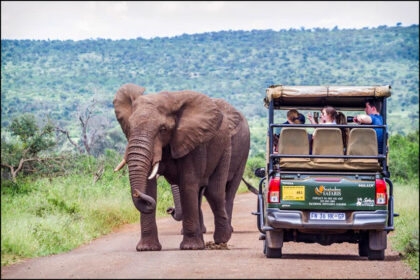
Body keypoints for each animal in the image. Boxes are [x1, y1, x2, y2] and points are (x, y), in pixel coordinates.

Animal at [111, 82, 254, 249]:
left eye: (163, 129)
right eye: (129, 127)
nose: (169, 209)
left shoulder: (194, 142)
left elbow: (188, 183)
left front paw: (191, 247)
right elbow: (149, 185)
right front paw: (147, 249)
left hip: (228, 149)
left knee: (216, 192)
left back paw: (222, 239)